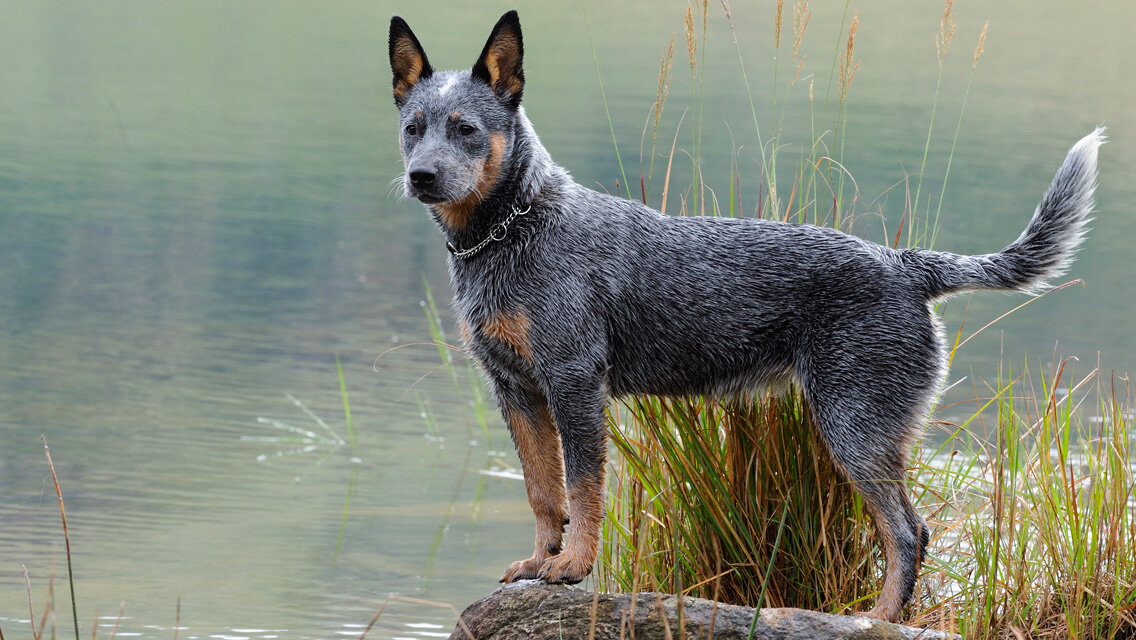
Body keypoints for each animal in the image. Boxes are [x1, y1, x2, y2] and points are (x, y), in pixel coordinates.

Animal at [386, 8, 1104, 622]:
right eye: (413, 126)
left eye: (467, 128)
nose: (421, 176)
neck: (514, 229)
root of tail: (905, 265)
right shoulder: (517, 390)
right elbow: (544, 492)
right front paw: (540, 563)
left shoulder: (575, 384)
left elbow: (584, 490)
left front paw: (573, 567)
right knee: (910, 530)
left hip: (854, 428)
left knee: (907, 532)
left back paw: (875, 620)